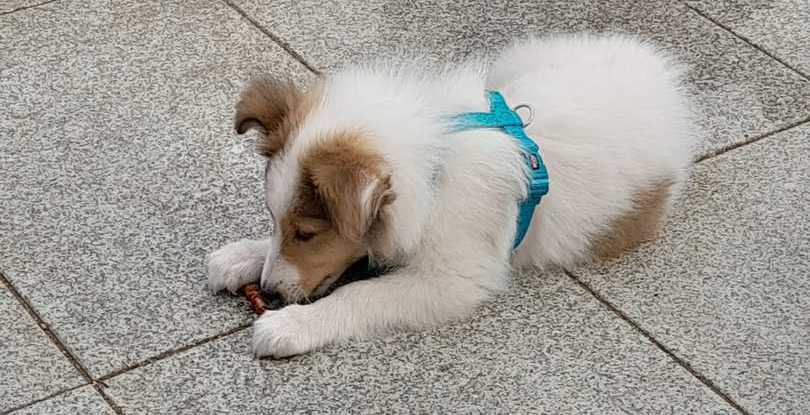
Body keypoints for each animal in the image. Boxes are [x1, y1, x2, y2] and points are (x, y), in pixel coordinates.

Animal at [207, 34, 696, 358]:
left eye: (308, 234)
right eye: (276, 222)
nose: (267, 292)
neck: (435, 168)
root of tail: (662, 75)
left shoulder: (453, 279)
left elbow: (361, 294)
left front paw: (291, 326)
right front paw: (240, 255)